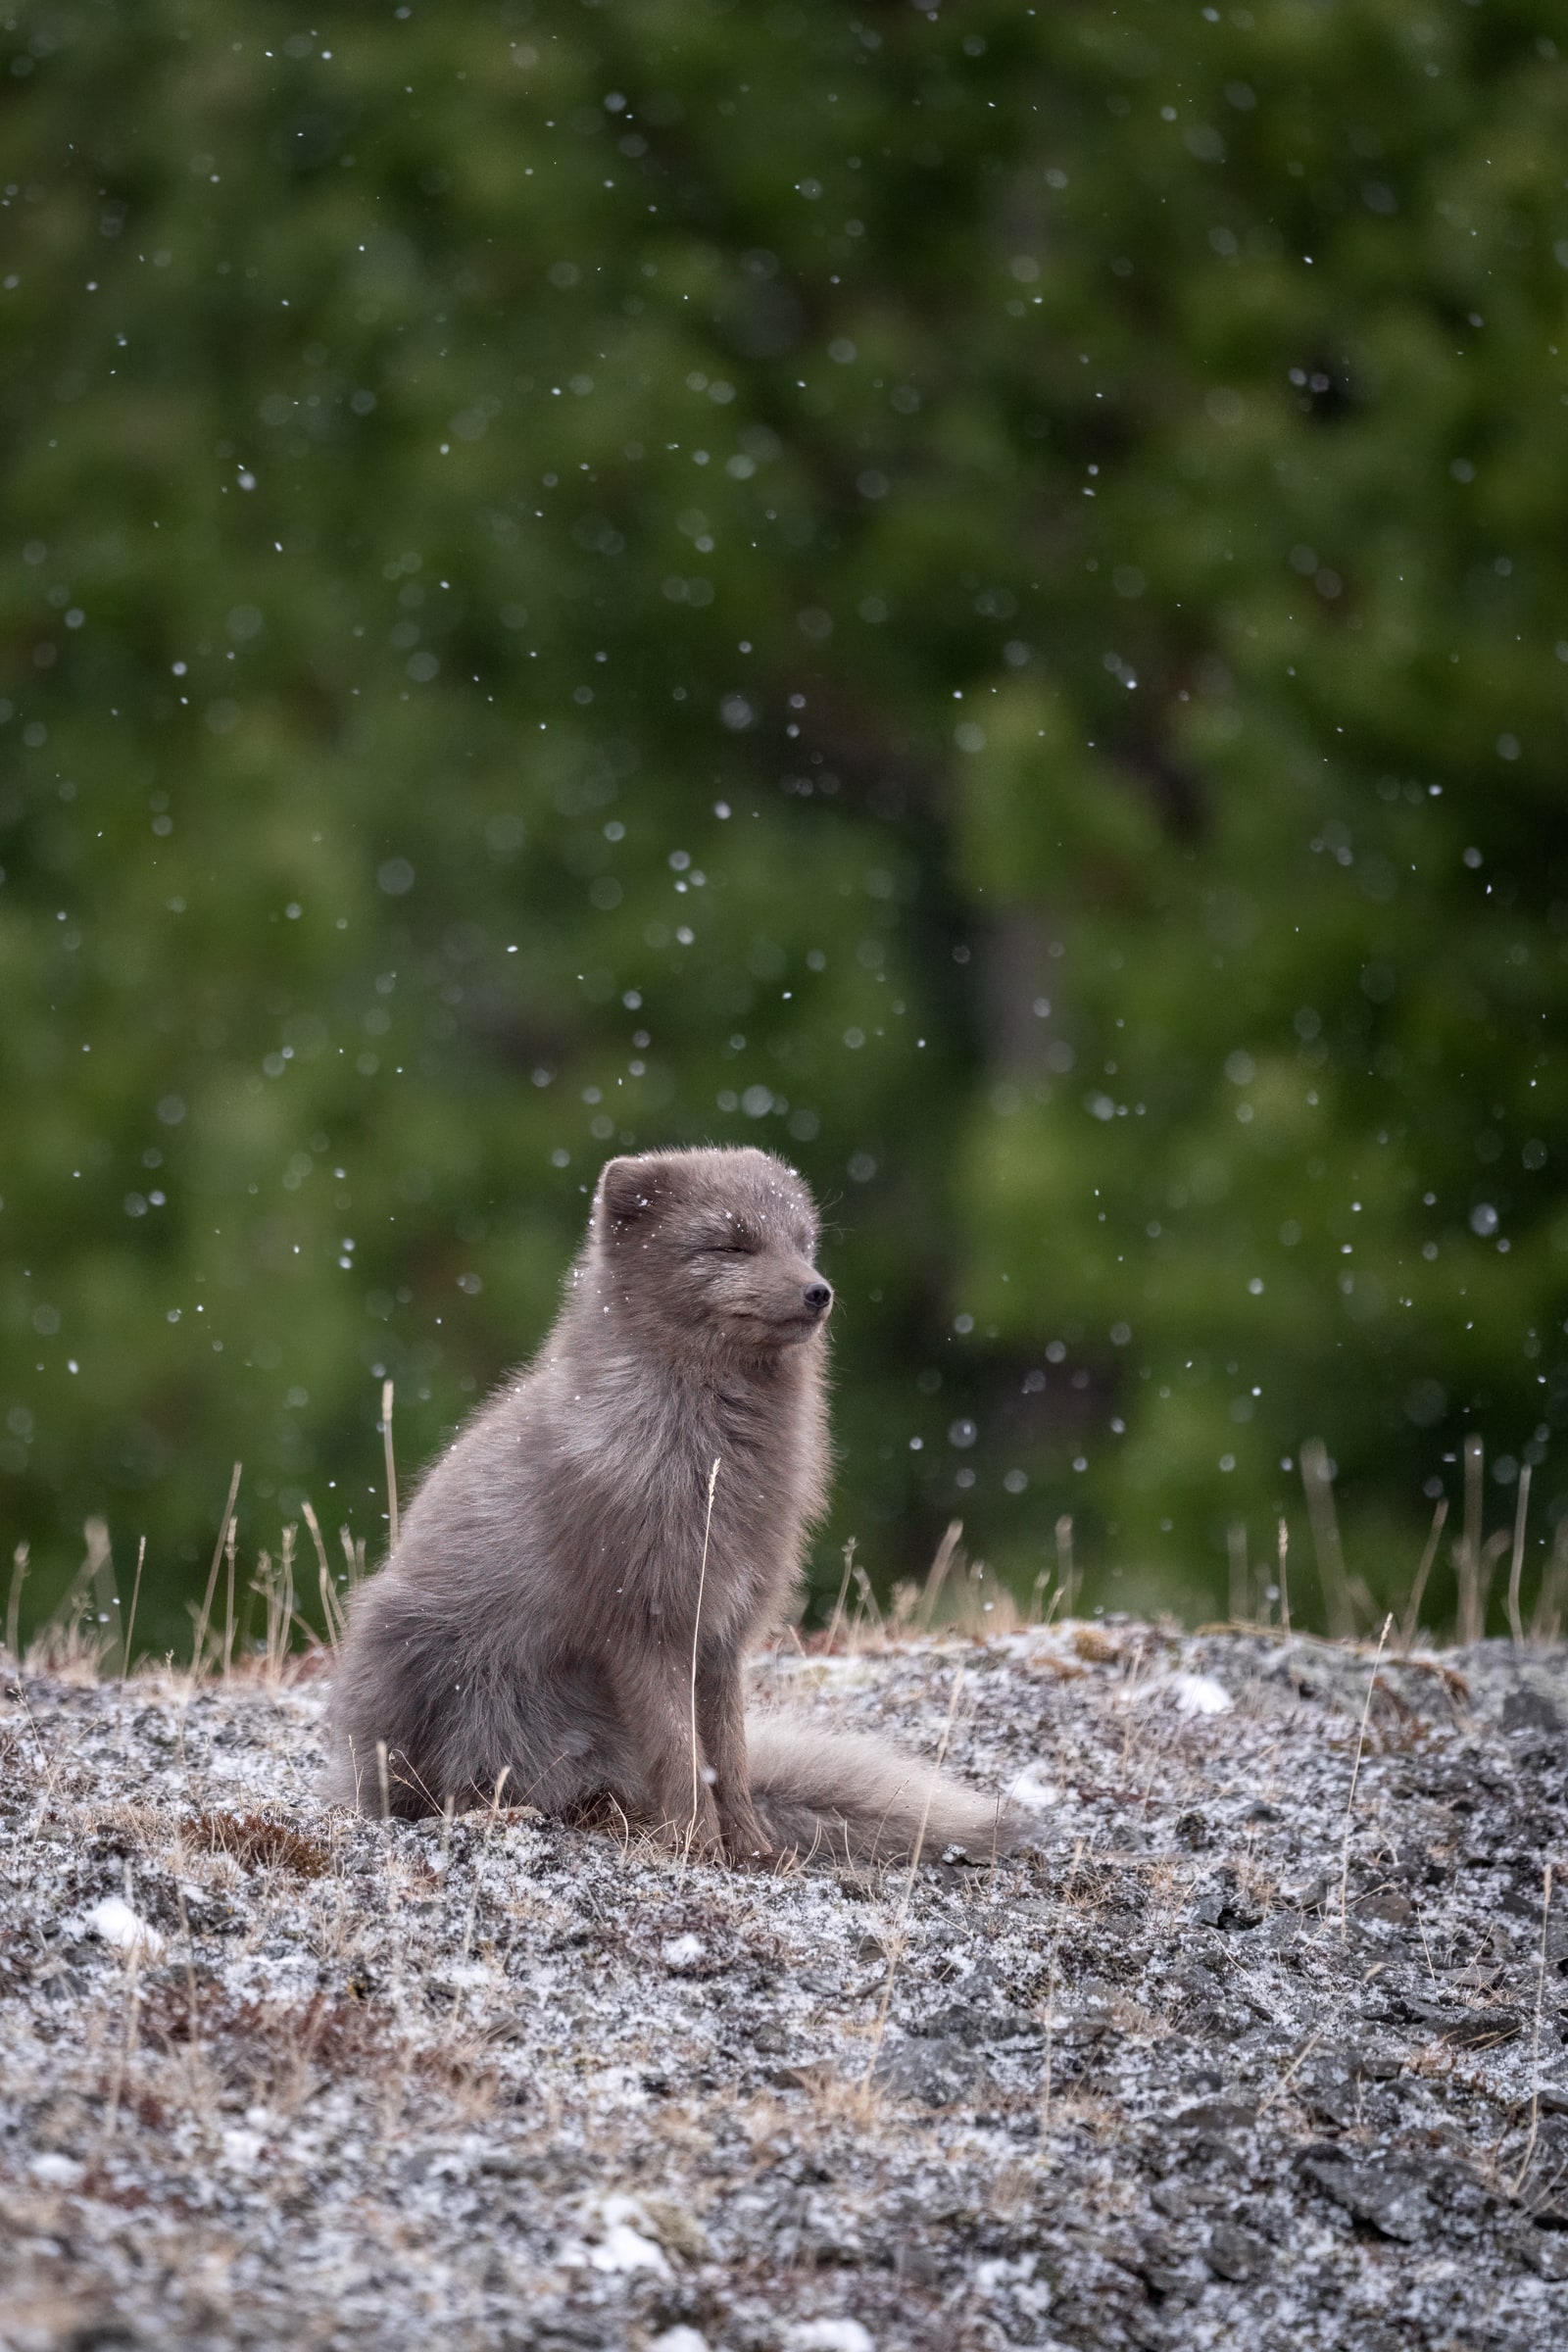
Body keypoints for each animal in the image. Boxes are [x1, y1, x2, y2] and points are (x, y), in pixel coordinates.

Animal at [325, 1145, 1012, 1866]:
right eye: (732, 1244)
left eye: (802, 1244)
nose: (819, 1291)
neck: (714, 1455)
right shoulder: (648, 1623)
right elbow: (683, 1757)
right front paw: (697, 1847)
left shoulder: (724, 1632)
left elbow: (728, 1757)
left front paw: (753, 1851)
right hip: (416, 1666)